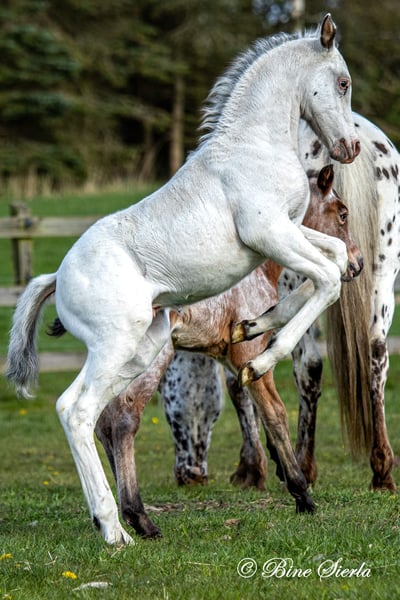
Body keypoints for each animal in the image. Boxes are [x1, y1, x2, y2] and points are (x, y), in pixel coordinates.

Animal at [92, 164, 363, 539]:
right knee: (122, 419)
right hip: (150, 362)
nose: (356, 264)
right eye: (342, 213)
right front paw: (302, 494)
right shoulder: (247, 357)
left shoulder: (227, 358)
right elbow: (275, 414)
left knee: (101, 420)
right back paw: (139, 517)